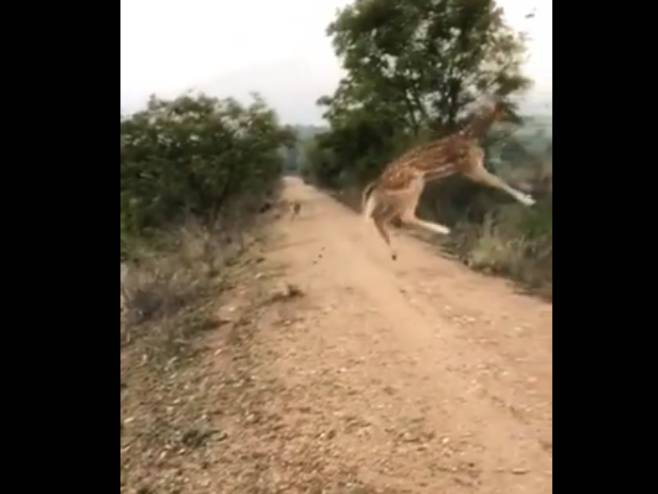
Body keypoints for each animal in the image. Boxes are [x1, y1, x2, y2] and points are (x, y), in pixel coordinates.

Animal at [362, 100, 536, 262]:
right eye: (507, 110)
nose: (520, 120)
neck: (471, 137)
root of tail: (377, 184)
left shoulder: (473, 167)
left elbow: (499, 180)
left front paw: (528, 198)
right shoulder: (470, 168)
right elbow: (498, 181)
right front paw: (529, 200)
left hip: (393, 198)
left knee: (380, 219)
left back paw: (395, 253)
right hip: (414, 185)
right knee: (404, 216)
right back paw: (444, 230)